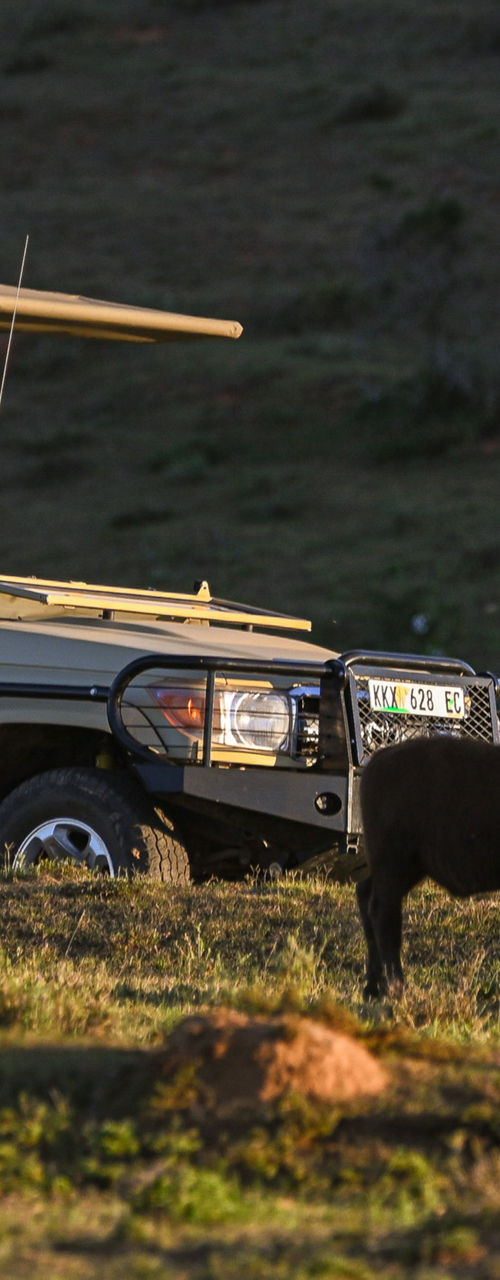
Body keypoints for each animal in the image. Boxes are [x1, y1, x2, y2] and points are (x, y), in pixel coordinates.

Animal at [357, 735, 500, 998]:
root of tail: (379, 759)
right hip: (394, 866)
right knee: (383, 914)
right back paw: (396, 986)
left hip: (406, 869)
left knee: (365, 895)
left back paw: (373, 987)